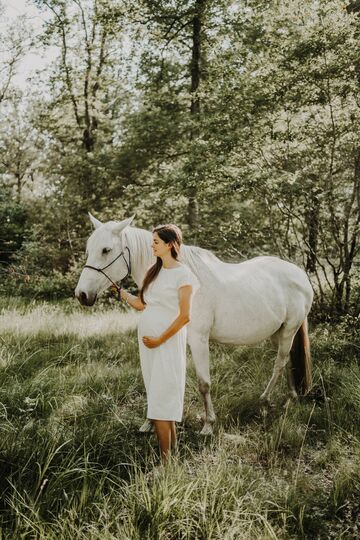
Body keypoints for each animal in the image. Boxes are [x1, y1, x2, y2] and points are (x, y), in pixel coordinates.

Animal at [75, 214, 312, 434]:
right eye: (89, 249)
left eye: (106, 250)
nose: (81, 295)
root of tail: (299, 274)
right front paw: (150, 422)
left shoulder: (198, 340)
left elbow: (203, 384)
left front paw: (208, 424)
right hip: (277, 333)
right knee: (287, 361)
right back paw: (289, 398)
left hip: (289, 330)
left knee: (279, 364)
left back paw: (266, 400)